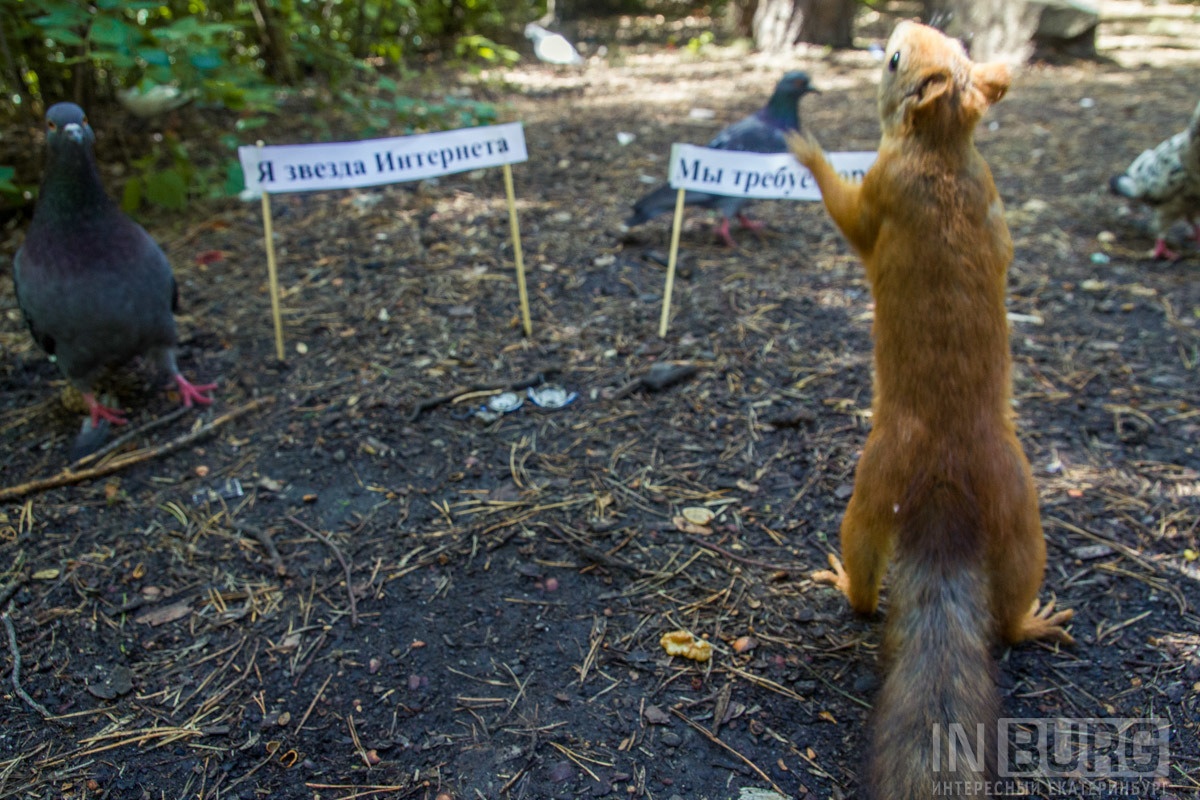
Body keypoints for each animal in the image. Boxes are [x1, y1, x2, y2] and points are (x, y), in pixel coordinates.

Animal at [787, 18, 1080, 800]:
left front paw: (807, 148)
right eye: (953, 41)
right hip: (1022, 514)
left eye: (894, 59)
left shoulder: (882, 192)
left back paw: (844, 580)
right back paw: (1032, 621)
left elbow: (848, 213)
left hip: (871, 489)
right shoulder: (992, 196)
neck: (943, 150)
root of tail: (947, 475)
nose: (898, 27)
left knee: (866, 583)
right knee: (1007, 606)